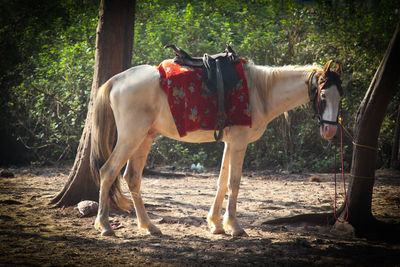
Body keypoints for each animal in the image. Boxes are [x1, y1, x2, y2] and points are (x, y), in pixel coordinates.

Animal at [90, 59, 344, 238]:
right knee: (107, 172)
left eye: (340, 96)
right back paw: (105, 225)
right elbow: (234, 182)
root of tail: (117, 80)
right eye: (323, 94)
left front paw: (216, 224)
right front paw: (235, 226)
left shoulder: (230, 143)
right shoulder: (240, 143)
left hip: (145, 138)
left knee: (132, 178)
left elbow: (222, 181)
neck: (259, 92)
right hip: (130, 138)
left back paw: (148, 226)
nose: (330, 131)